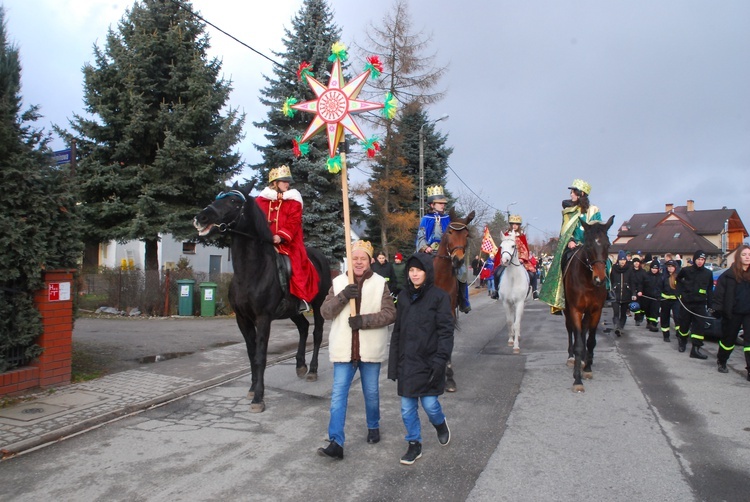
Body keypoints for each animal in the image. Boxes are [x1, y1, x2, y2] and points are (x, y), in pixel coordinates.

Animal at [194, 184, 332, 412]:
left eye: (234, 202)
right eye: (217, 198)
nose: (201, 217)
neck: (251, 271)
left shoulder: (263, 318)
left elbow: (260, 356)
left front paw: (259, 397)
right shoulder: (242, 319)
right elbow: (251, 354)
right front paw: (252, 389)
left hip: (319, 304)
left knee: (317, 332)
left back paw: (312, 370)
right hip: (292, 310)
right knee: (303, 327)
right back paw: (300, 365)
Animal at [428, 208, 476, 392]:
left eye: (466, 234)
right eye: (449, 232)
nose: (458, 260)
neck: (440, 278)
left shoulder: (449, 312)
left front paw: (449, 378)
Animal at [564, 215, 616, 392]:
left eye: (608, 245)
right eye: (588, 245)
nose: (599, 279)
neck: (587, 281)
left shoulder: (595, 310)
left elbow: (591, 341)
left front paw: (586, 368)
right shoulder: (575, 309)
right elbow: (579, 343)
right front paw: (577, 379)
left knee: (584, 332)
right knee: (571, 330)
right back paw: (571, 358)